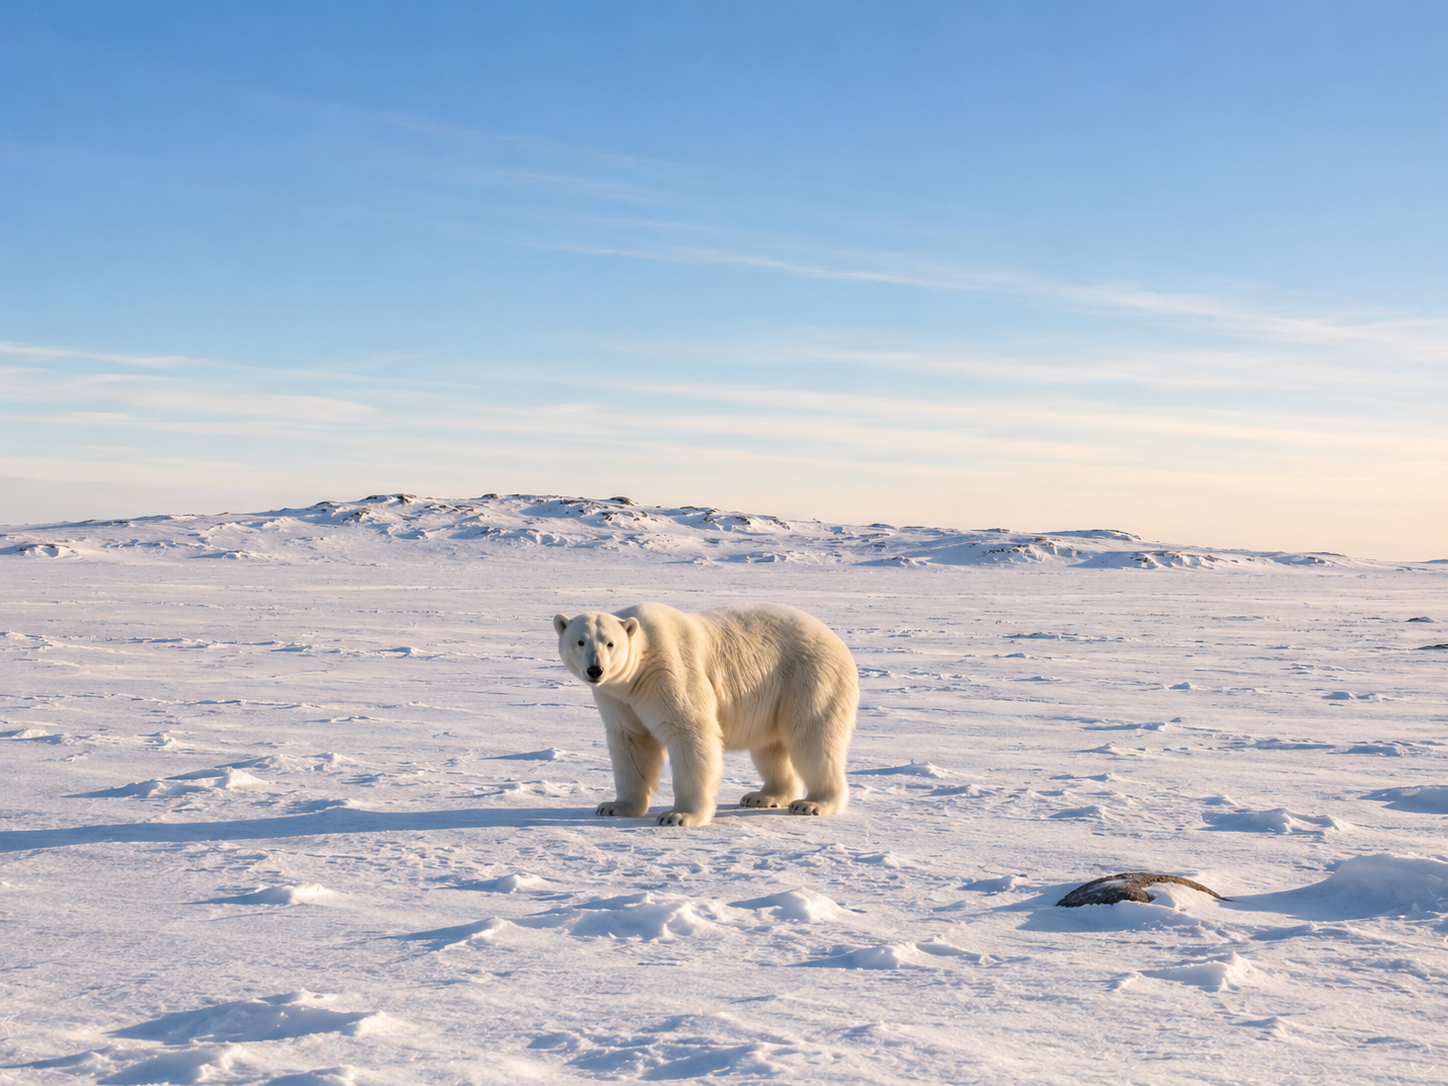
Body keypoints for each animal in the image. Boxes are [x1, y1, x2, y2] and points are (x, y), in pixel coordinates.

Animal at [552, 602, 858, 827]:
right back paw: (762, 796)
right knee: (770, 747)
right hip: (775, 697)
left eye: (610, 643)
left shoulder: (667, 673)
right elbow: (631, 743)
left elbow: (689, 732)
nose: (595, 670)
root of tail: (838, 642)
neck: (639, 667)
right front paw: (615, 806)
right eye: (580, 641)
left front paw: (678, 815)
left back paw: (813, 803)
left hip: (810, 677)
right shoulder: (618, 698)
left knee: (813, 739)